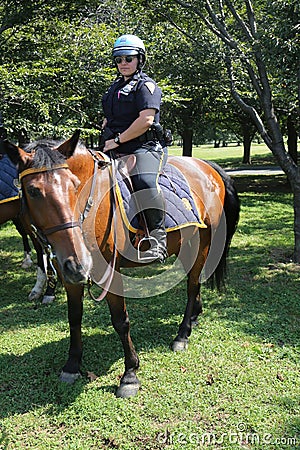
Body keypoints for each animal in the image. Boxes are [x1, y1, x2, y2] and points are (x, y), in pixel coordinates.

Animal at [2, 132, 239, 400]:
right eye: (33, 191)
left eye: (74, 184)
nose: (78, 262)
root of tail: (207, 167)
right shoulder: (69, 273)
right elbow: (74, 316)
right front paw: (72, 365)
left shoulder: (110, 272)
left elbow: (120, 321)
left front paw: (130, 374)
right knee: (195, 284)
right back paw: (194, 319)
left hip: (204, 241)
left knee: (192, 286)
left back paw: (182, 334)